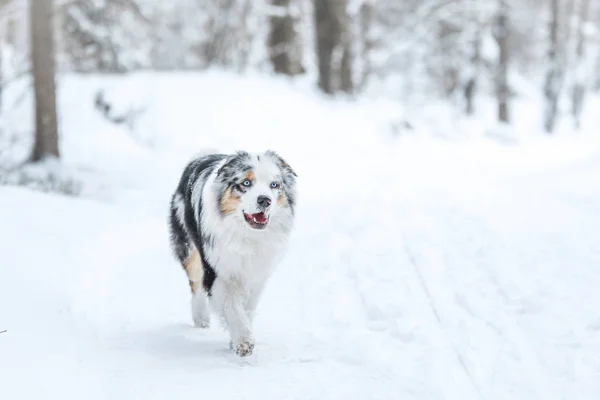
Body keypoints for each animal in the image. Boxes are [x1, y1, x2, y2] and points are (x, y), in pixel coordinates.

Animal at [169, 150, 298, 356]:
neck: (246, 235)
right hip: (189, 246)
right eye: (246, 183)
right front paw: (243, 341)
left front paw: (237, 339)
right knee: (196, 283)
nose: (265, 200)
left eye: (274, 185)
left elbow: (248, 308)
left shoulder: (257, 274)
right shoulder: (218, 270)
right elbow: (232, 306)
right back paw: (201, 318)